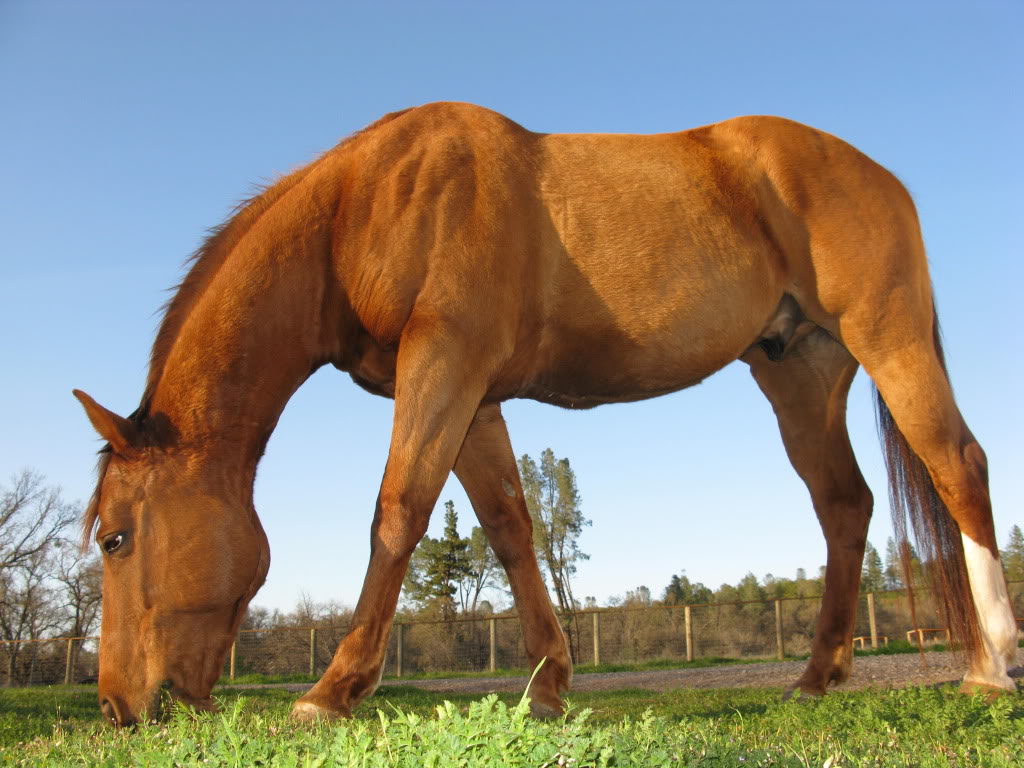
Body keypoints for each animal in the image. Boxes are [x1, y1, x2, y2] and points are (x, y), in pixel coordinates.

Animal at [77, 103, 1015, 729]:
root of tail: (878, 173)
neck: (364, 208)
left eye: (116, 538)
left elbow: (398, 511)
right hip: (800, 375)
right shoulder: (476, 395)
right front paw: (549, 683)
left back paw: (993, 664)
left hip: (891, 339)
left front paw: (332, 689)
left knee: (956, 465)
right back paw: (817, 677)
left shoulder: (444, 365)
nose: (119, 707)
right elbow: (509, 527)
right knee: (845, 506)